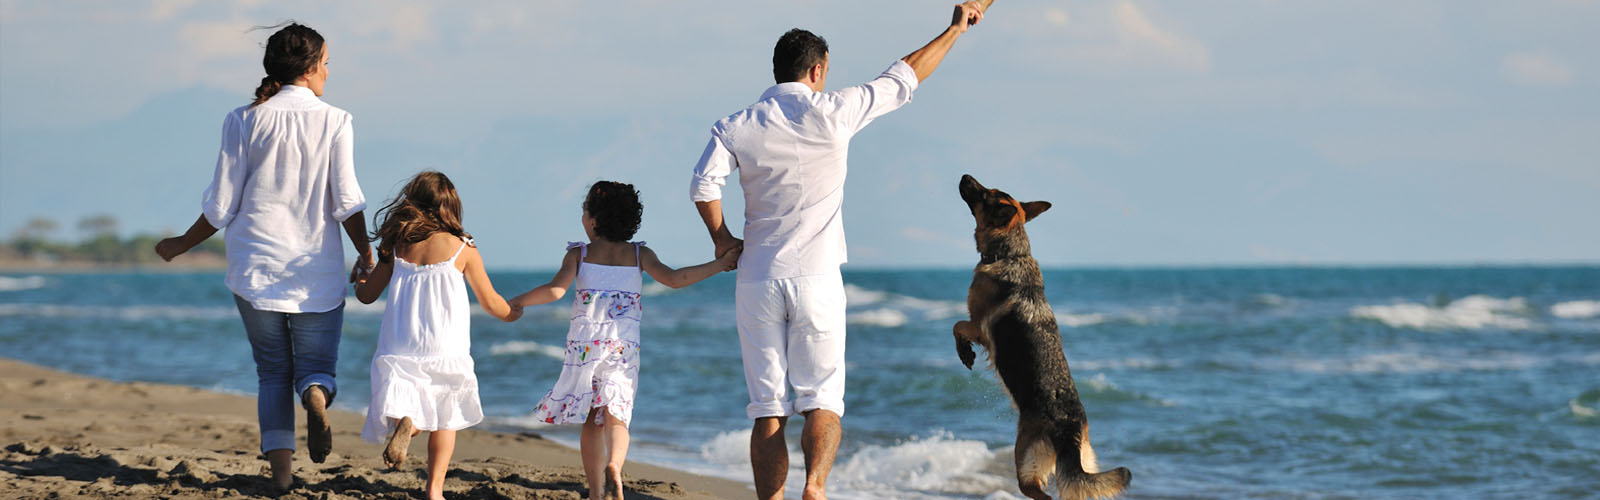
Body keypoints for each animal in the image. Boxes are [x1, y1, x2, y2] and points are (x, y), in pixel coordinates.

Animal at [953, 174, 1132, 500]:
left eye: (986, 194)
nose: (965, 176)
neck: (1012, 252)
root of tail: (1070, 433)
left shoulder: (978, 326)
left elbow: (957, 325)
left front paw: (965, 353)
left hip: (1025, 458)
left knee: (1039, 493)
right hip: (1080, 466)